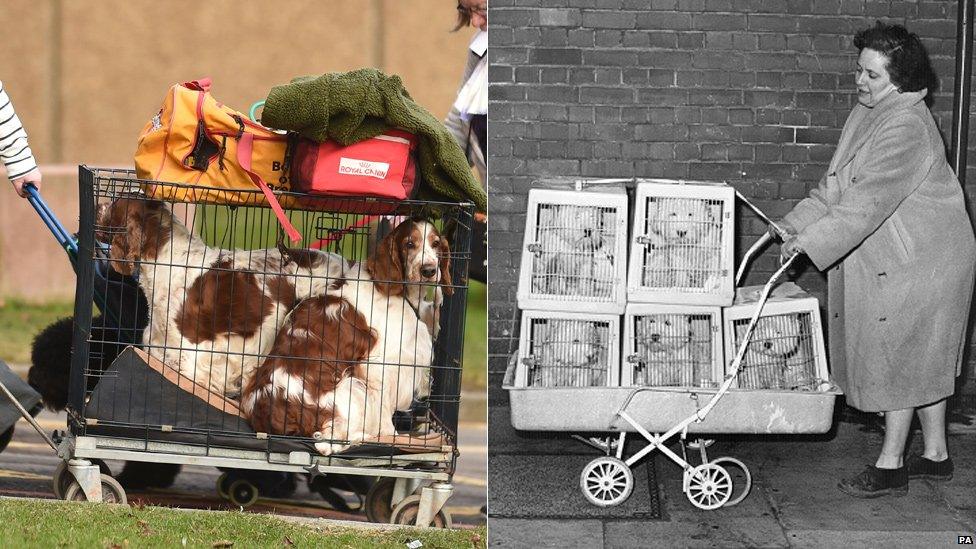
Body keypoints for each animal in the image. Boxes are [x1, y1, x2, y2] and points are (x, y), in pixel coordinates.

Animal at [238, 218, 452, 454]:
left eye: (435, 244)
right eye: (409, 244)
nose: (429, 270)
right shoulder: (378, 365)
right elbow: (383, 412)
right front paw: (392, 439)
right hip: (350, 388)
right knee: (326, 442)